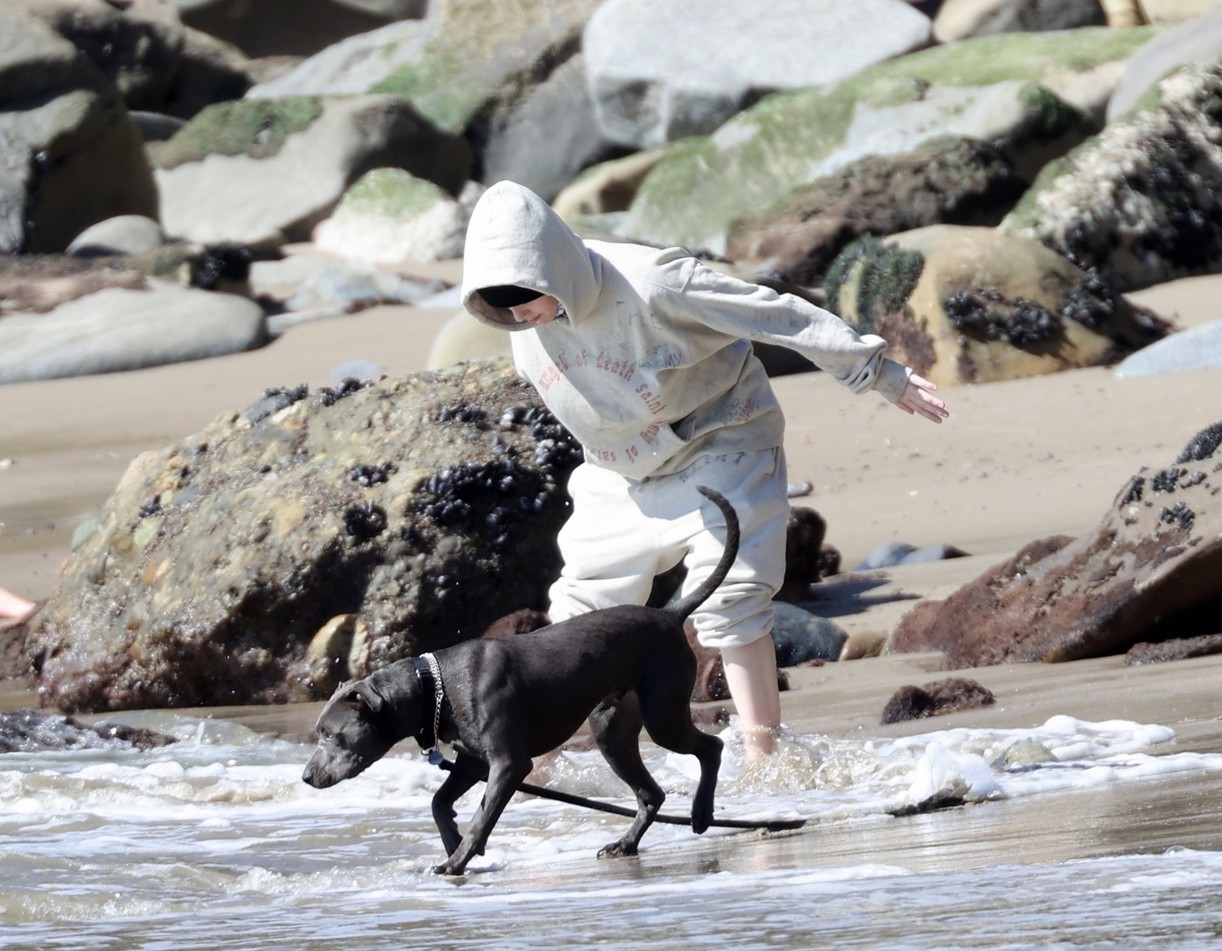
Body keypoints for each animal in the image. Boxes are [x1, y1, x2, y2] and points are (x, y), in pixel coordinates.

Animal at [304, 486, 733, 870]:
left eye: (331, 734)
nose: (306, 776)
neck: (433, 687)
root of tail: (670, 613)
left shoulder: (509, 764)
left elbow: (482, 817)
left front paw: (457, 859)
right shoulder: (473, 762)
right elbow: (439, 802)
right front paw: (453, 841)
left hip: (663, 715)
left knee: (711, 747)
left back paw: (700, 813)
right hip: (612, 731)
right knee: (650, 794)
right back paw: (625, 844)